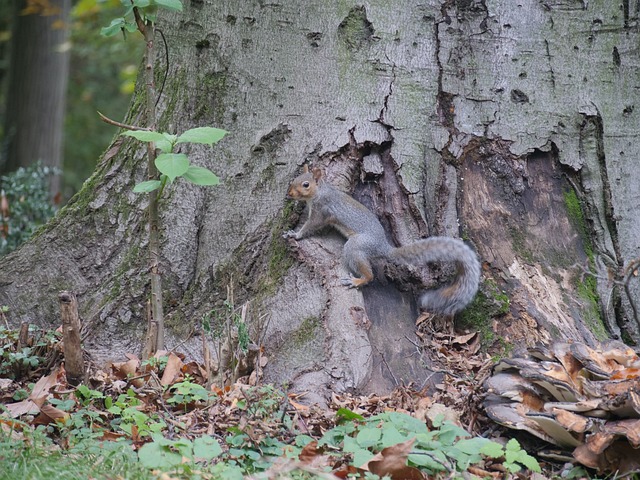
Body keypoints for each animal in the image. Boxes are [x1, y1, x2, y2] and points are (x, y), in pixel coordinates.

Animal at [284, 165, 480, 316]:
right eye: (294, 179)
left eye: (306, 184)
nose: (289, 194)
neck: (320, 191)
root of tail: (383, 247)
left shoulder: (321, 210)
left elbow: (311, 226)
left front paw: (295, 234)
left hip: (356, 247)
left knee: (369, 275)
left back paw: (357, 281)